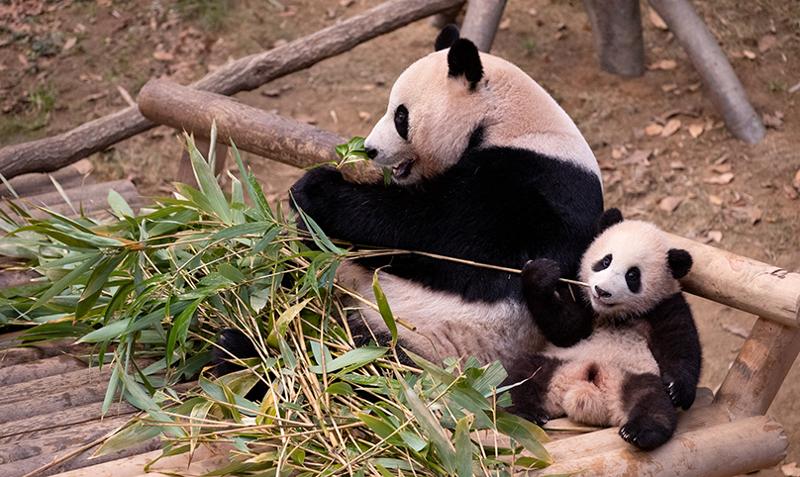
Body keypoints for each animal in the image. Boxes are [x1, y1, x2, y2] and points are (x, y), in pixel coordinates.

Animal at [218, 25, 603, 374]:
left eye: (401, 116)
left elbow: (440, 233)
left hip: (422, 345)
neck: (505, 120)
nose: (370, 150)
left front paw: (316, 189)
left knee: (363, 361)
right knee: (287, 288)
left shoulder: (533, 185)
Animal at [507, 208, 702, 451]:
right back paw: (525, 414)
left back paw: (640, 432)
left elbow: (681, 344)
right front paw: (541, 275)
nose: (601, 291)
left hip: (634, 376)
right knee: (521, 376)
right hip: (556, 362)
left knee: (653, 401)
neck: (615, 315)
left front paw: (677, 389)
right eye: (605, 261)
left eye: (632, 275)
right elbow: (566, 331)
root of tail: (583, 394)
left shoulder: (664, 306)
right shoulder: (582, 298)